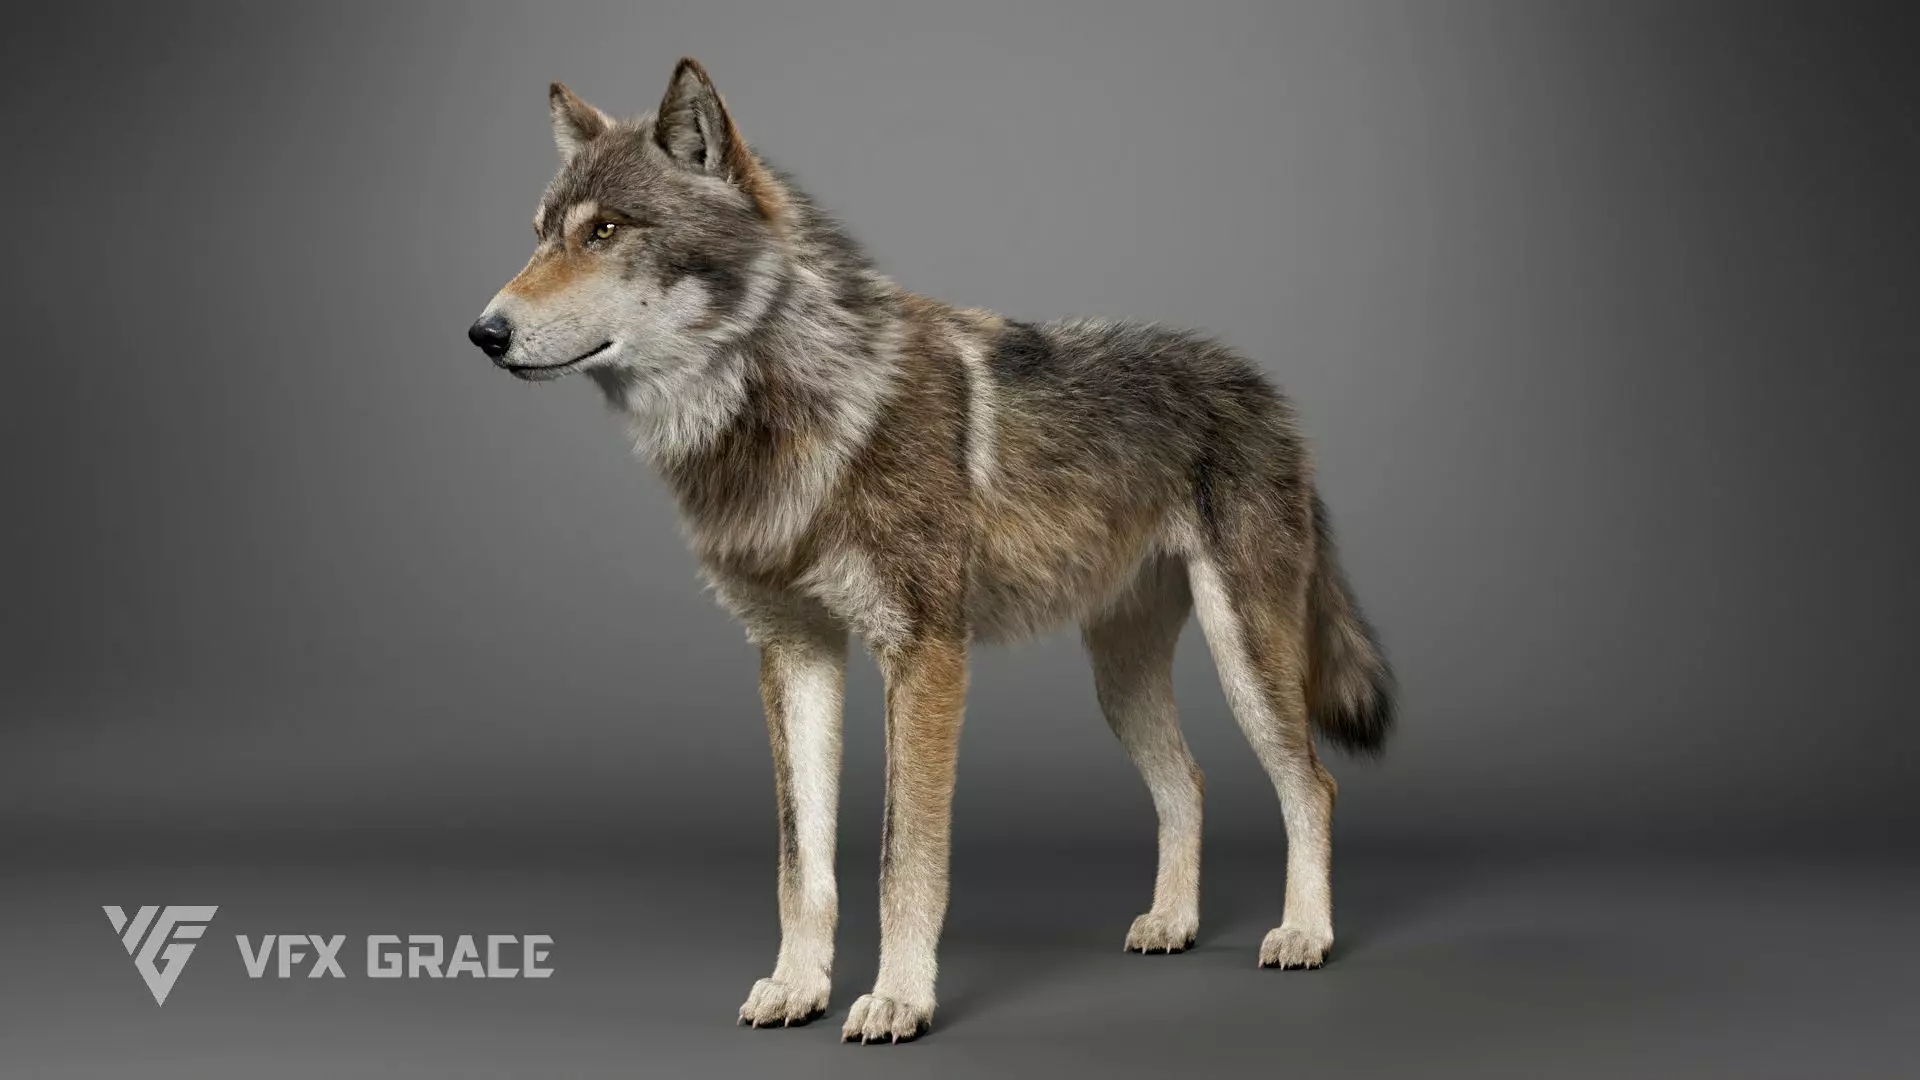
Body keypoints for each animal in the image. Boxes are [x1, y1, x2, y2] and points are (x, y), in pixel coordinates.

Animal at [469, 58, 1395, 1044]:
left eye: (604, 231)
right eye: (540, 235)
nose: (483, 332)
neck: (793, 417)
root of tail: (1262, 386)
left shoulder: (924, 655)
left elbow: (902, 857)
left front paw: (900, 1000)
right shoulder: (794, 654)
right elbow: (803, 867)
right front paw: (796, 986)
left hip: (1245, 661)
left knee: (1311, 786)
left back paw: (1303, 933)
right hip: (1120, 680)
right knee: (1189, 783)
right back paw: (1172, 922)